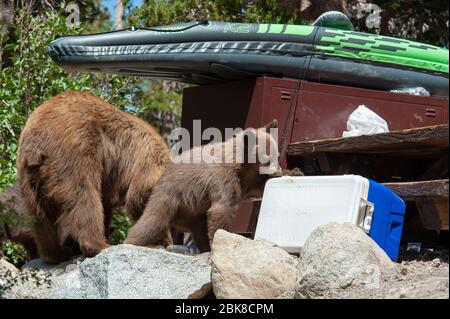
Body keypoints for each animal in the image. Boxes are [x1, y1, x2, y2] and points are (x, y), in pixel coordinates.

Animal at [16, 91, 170, 264]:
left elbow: (109, 206)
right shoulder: (146, 161)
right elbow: (140, 200)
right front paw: (162, 240)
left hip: (29, 176)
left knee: (40, 216)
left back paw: (57, 253)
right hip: (75, 153)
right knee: (84, 198)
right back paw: (100, 245)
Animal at [125, 121, 282, 254]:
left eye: (278, 156)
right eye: (267, 159)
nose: (278, 172)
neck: (240, 165)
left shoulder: (245, 180)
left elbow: (257, 188)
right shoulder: (222, 178)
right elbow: (222, 209)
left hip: (194, 211)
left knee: (199, 229)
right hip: (171, 196)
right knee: (152, 221)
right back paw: (133, 241)